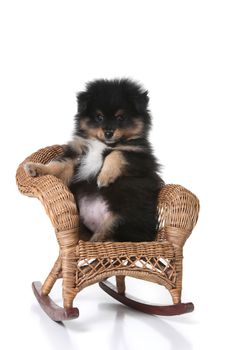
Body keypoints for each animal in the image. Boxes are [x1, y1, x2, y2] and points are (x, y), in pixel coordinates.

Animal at [25, 79, 164, 242]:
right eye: (99, 117)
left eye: (120, 117)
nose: (108, 133)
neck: (102, 143)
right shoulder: (77, 154)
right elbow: (57, 165)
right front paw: (36, 168)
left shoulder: (140, 157)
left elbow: (116, 153)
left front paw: (104, 177)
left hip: (122, 219)